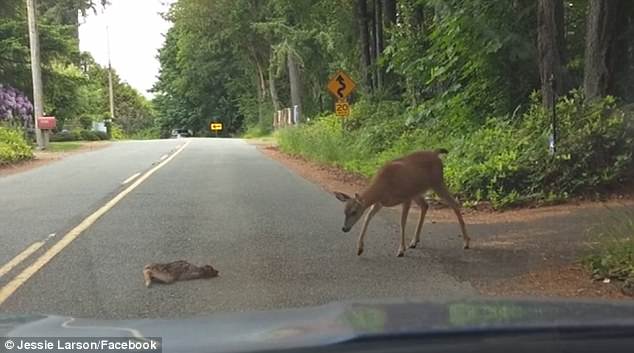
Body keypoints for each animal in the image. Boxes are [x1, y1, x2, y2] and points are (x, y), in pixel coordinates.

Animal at [334, 148, 466, 256]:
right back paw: (414, 241)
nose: (344, 228)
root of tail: (435, 153)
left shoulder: (405, 197)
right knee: (425, 205)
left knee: (454, 204)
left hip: (437, 182)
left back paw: (466, 242)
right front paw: (359, 249)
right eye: (344, 211)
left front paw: (401, 250)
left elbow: (402, 222)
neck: (383, 187)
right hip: (417, 192)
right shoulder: (380, 202)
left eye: (354, 212)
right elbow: (367, 218)